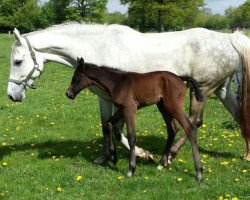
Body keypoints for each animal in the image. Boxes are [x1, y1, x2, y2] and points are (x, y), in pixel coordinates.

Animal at [6, 22, 250, 164]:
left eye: (17, 61)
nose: (11, 95)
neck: (98, 48)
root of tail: (228, 39)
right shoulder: (103, 98)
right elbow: (106, 126)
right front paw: (105, 157)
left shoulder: (121, 102)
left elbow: (117, 130)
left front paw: (143, 154)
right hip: (221, 90)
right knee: (239, 116)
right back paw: (247, 154)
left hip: (203, 90)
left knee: (194, 121)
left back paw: (169, 156)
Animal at [66, 57, 203, 181]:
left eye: (76, 78)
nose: (68, 94)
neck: (118, 83)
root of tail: (180, 78)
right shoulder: (122, 108)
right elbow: (109, 123)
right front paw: (113, 157)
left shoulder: (130, 109)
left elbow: (132, 136)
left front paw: (131, 169)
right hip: (163, 106)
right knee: (172, 129)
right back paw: (161, 164)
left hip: (173, 106)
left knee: (190, 128)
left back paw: (199, 173)